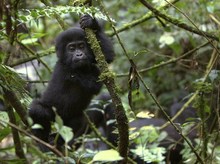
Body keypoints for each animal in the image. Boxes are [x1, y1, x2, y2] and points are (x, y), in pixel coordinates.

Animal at [29, 14, 114, 149]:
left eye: (81, 46)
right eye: (71, 48)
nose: (79, 54)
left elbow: (105, 57)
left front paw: (92, 23)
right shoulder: (66, 70)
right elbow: (92, 84)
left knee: (76, 122)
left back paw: (58, 141)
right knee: (37, 109)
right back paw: (42, 139)